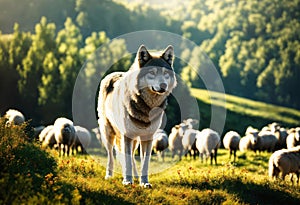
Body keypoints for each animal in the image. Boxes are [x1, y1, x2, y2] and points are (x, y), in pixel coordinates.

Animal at [98, 44, 177, 187]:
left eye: (165, 74)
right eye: (152, 73)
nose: (163, 85)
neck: (146, 108)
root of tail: (113, 74)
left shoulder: (148, 137)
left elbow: (144, 163)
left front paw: (144, 183)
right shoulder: (127, 136)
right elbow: (127, 161)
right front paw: (127, 181)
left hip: (135, 140)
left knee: (131, 158)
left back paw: (134, 176)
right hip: (108, 134)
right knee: (111, 156)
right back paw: (109, 176)